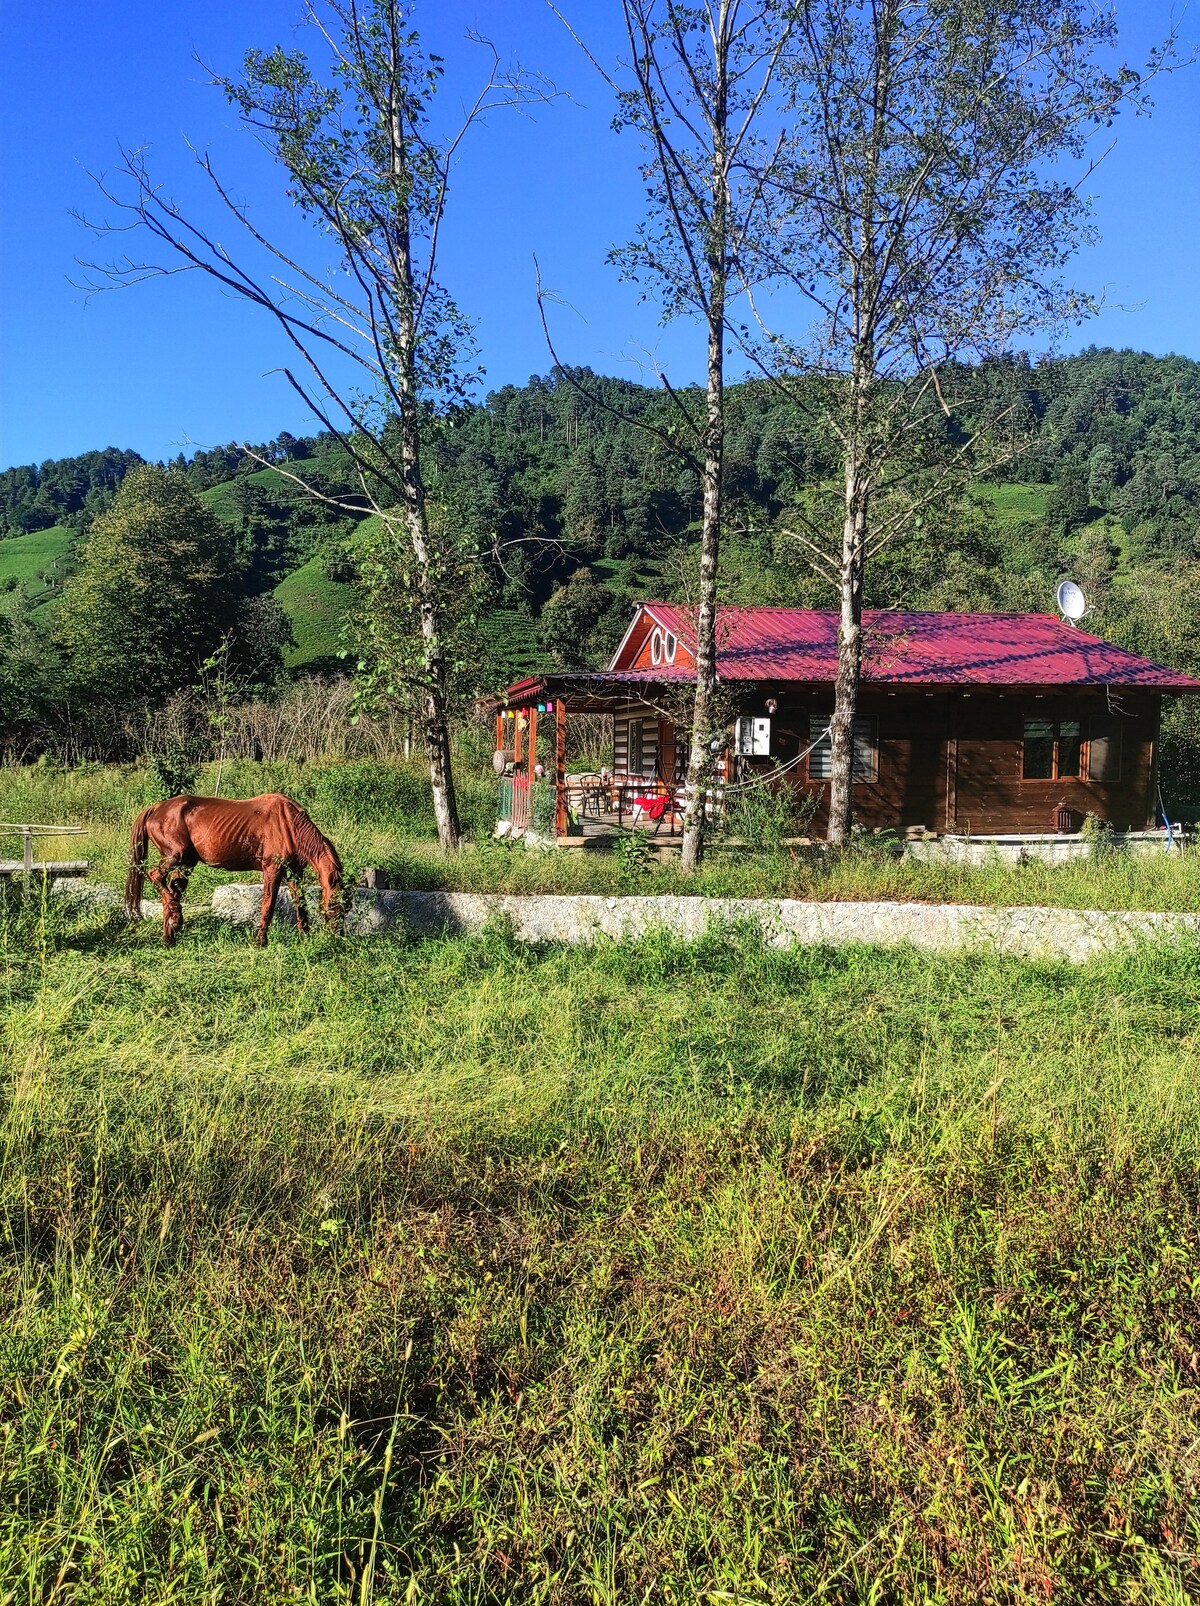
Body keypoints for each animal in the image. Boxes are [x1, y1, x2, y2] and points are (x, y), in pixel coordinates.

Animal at [125, 793, 345, 944]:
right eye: (335, 905)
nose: (339, 938)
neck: (290, 823)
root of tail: (155, 808)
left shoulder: (294, 872)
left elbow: (301, 904)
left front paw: (304, 936)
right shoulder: (272, 869)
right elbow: (268, 905)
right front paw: (260, 941)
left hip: (186, 864)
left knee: (171, 891)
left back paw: (170, 935)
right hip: (175, 857)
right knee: (156, 877)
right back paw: (176, 918)